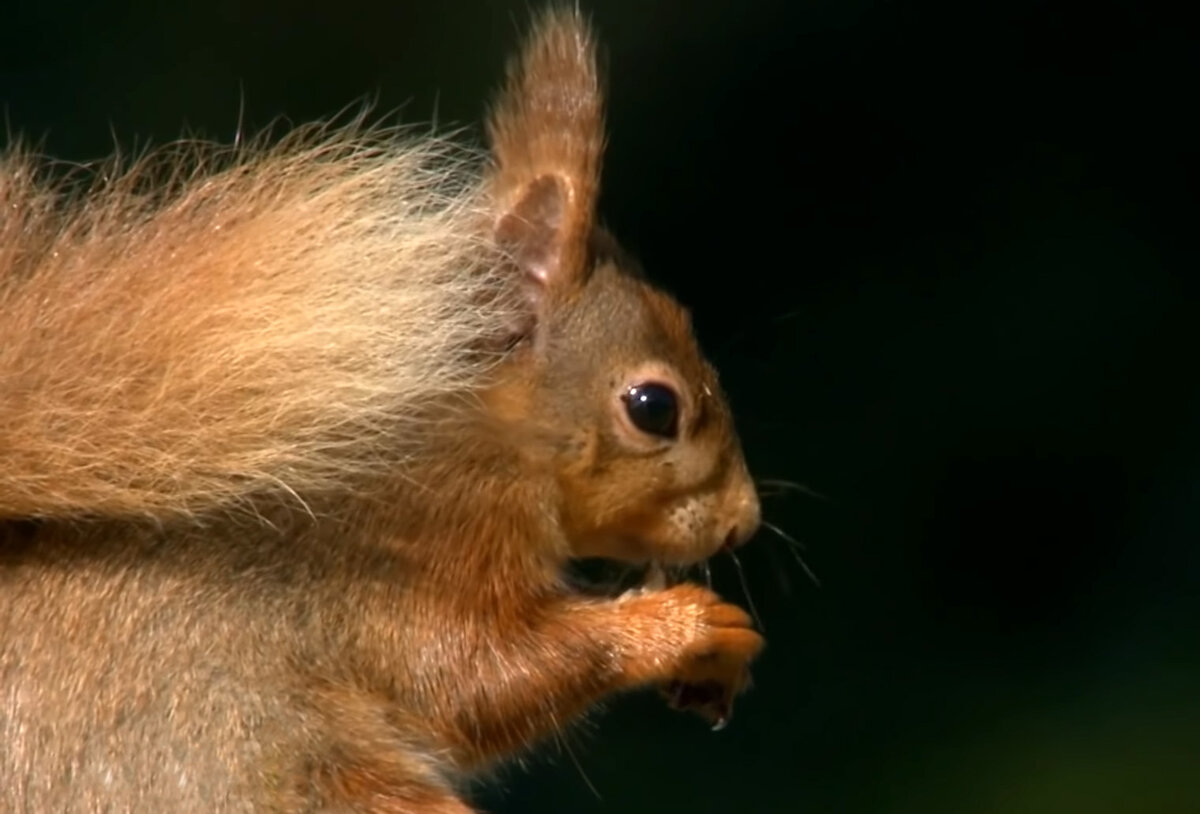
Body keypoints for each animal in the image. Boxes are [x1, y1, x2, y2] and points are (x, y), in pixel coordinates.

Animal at [0, 7, 763, 814]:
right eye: (653, 407)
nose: (741, 521)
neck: (469, 436)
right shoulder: (417, 552)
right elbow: (476, 677)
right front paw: (682, 625)